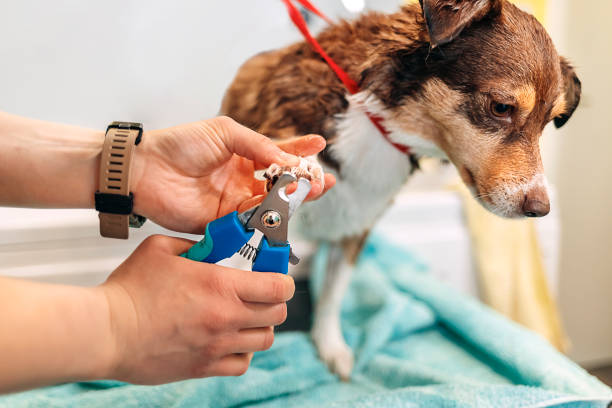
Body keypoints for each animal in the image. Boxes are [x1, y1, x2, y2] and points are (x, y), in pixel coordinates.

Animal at [219, 0, 580, 380]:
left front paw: (330, 346)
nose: (540, 209)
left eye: (547, 122)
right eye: (500, 107)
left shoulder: (357, 225)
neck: (377, 122)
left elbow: (333, 293)